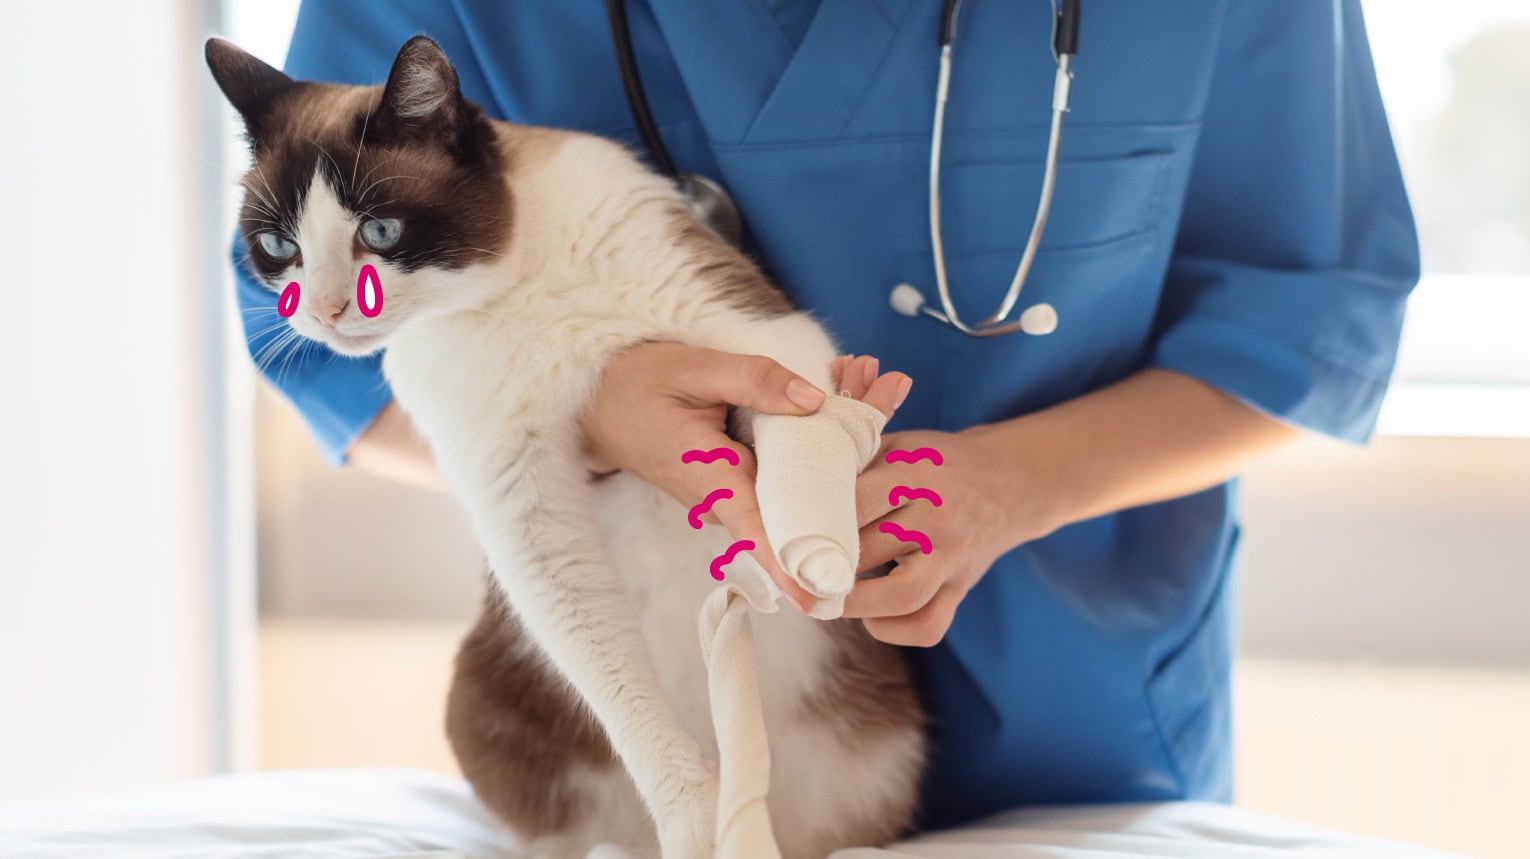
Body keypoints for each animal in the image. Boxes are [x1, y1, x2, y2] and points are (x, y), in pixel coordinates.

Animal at [209, 35, 924, 857]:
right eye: (278, 247)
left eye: (380, 233)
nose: (324, 312)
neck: (509, 292)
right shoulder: (526, 517)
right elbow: (626, 701)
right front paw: (696, 828)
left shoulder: (766, 343)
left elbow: (798, 446)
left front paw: (815, 557)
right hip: (486, 701)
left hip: (880, 756)